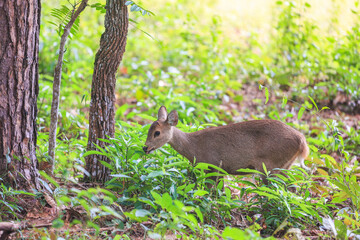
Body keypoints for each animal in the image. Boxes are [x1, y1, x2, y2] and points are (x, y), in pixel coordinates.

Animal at [143, 106, 310, 183]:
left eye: (157, 132)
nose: (145, 147)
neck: (194, 148)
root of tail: (302, 140)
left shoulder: (214, 165)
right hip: (284, 166)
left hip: (269, 165)